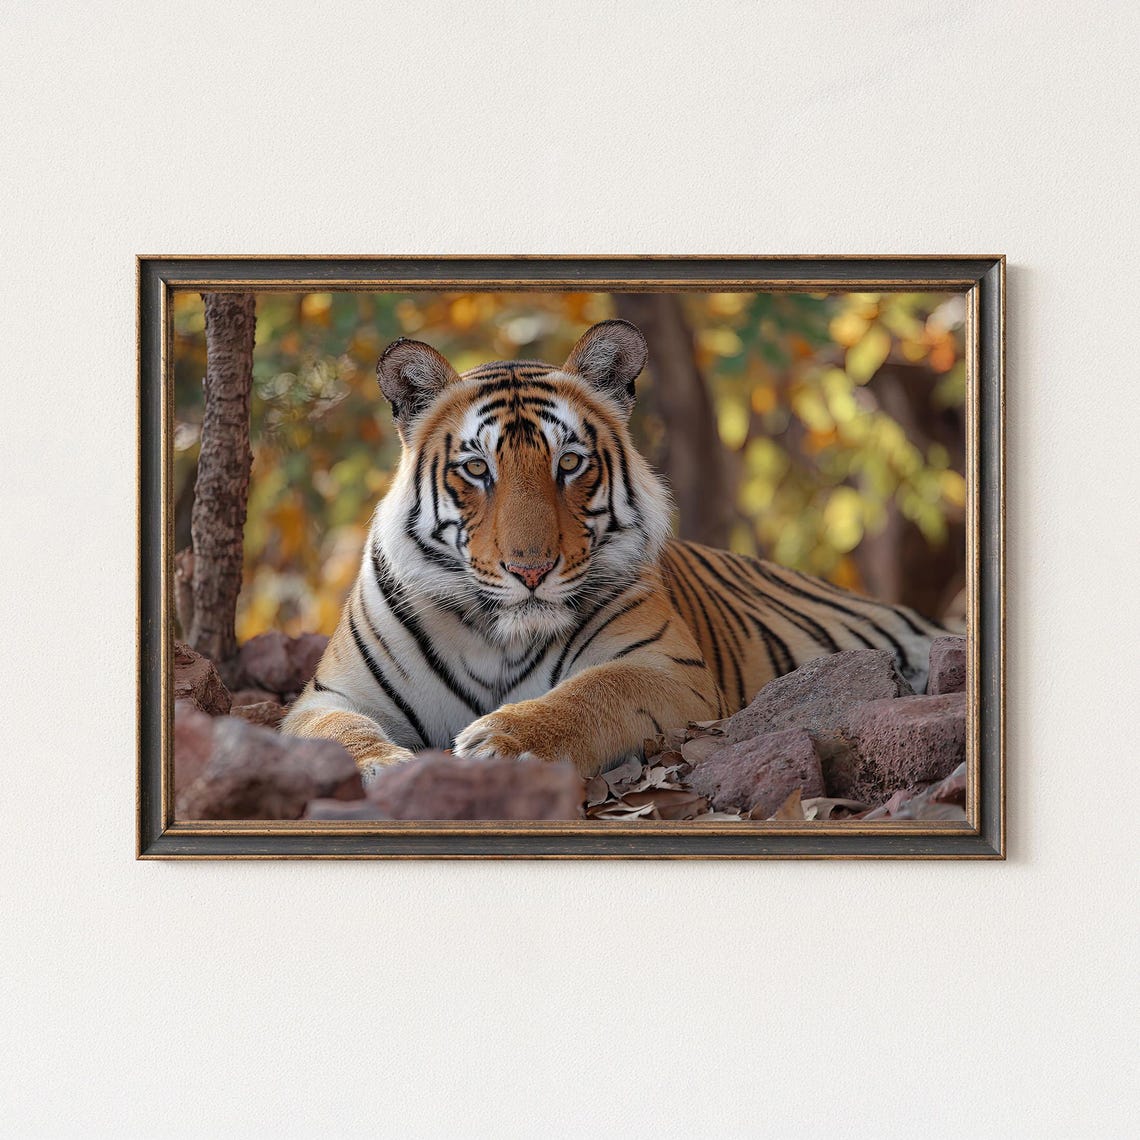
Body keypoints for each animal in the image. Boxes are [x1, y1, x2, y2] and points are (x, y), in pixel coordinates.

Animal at [281, 319, 946, 780]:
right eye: (476, 469)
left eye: (570, 463)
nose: (530, 570)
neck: (498, 640)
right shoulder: (332, 696)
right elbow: (337, 730)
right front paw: (381, 766)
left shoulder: (665, 669)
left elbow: (592, 695)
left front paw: (498, 742)